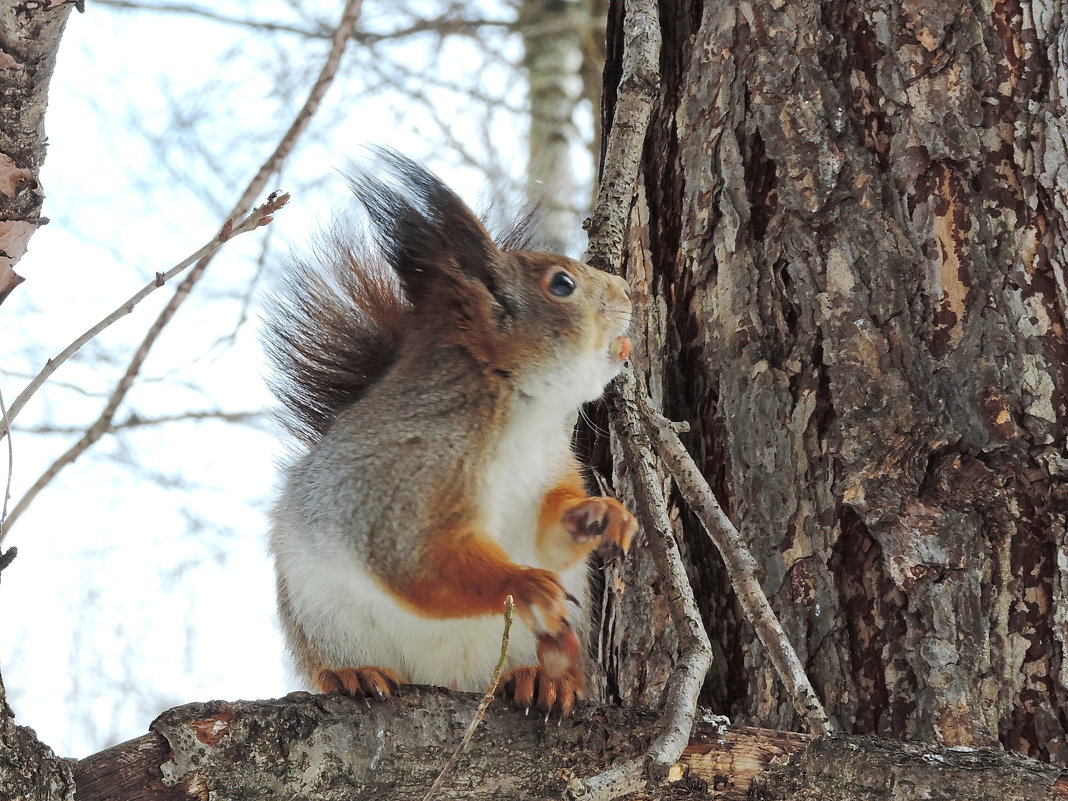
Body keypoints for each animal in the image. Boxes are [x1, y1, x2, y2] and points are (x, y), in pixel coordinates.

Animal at [263, 151, 636, 721]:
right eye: (561, 285)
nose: (628, 292)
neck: (524, 413)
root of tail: (449, 680)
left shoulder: (550, 466)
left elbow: (548, 536)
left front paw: (600, 514)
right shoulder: (409, 478)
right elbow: (420, 561)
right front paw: (523, 584)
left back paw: (546, 679)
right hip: (320, 620)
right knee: (334, 660)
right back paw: (352, 673)